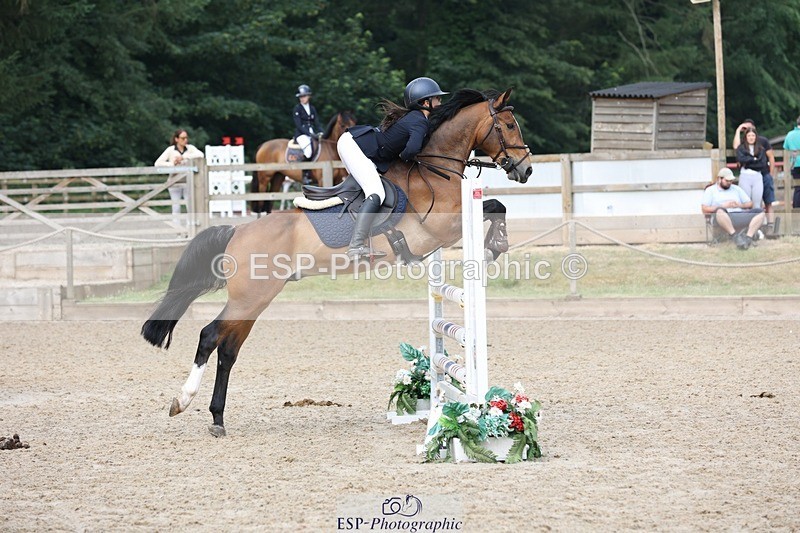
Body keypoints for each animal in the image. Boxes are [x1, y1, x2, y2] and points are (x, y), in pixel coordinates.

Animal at [141, 88, 532, 437]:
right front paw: (495, 245)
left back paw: (217, 418)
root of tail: (237, 231)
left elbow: (498, 206)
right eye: (509, 125)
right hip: (249, 298)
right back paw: (182, 401)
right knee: (210, 337)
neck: (434, 168)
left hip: (255, 300)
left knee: (229, 350)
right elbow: (495, 205)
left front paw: (495, 245)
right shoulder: (442, 228)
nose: (525, 170)